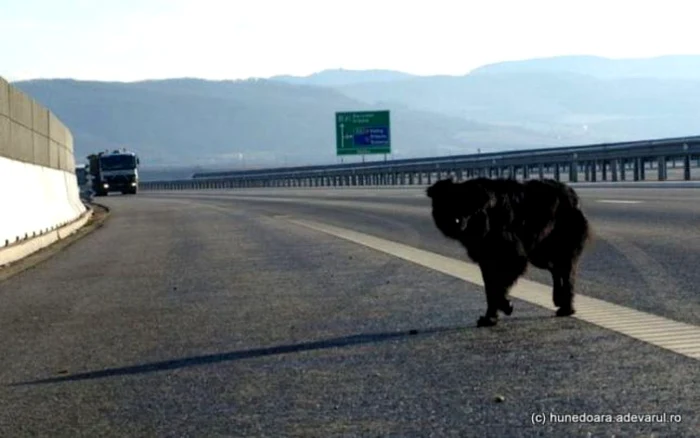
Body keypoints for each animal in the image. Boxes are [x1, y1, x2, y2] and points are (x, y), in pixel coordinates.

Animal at [426, 176, 592, 326]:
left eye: (467, 205)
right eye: (446, 204)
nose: (455, 222)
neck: (486, 217)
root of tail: (571, 193)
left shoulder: (513, 257)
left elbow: (497, 288)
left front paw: (505, 306)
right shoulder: (486, 260)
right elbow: (490, 289)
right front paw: (490, 318)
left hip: (558, 250)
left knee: (567, 274)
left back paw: (567, 308)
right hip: (539, 254)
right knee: (555, 269)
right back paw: (558, 299)